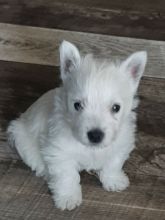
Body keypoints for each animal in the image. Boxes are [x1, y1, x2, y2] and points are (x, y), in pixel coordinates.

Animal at [7, 40, 147, 211]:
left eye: (116, 108)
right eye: (77, 105)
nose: (95, 135)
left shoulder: (121, 143)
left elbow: (113, 163)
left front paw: (114, 180)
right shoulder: (59, 151)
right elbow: (67, 175)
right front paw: (68, 197)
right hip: (21, 138)